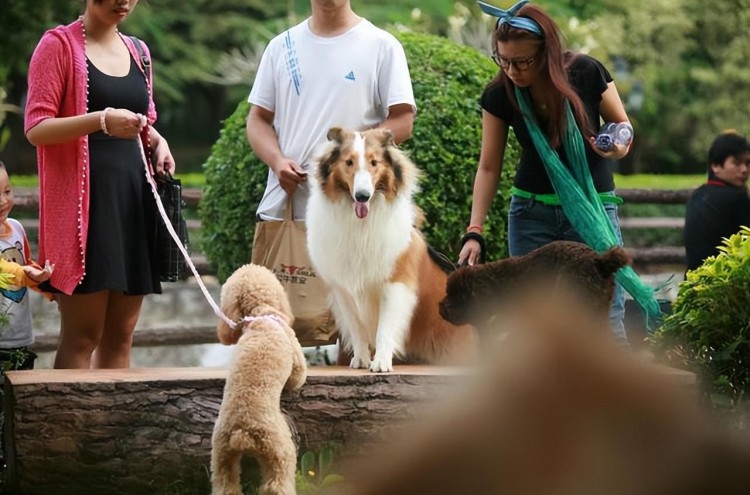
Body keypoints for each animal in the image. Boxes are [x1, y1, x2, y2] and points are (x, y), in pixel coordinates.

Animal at [210, 266, 306, 495]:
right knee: (277, 484)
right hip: (280, 452)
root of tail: (242, 431)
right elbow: (298, 375)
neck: (260, 317)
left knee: (225, 485)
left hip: (222, 456)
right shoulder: (295, 355)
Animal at [308, 128, 478, 372]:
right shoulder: (343, 290)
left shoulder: (395, 284)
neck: (360, 224)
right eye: (349, 162)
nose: (362, 196)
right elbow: (357, 329)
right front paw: (361, 359)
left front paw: (380, 362)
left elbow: (384, 328)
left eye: (374, 162)